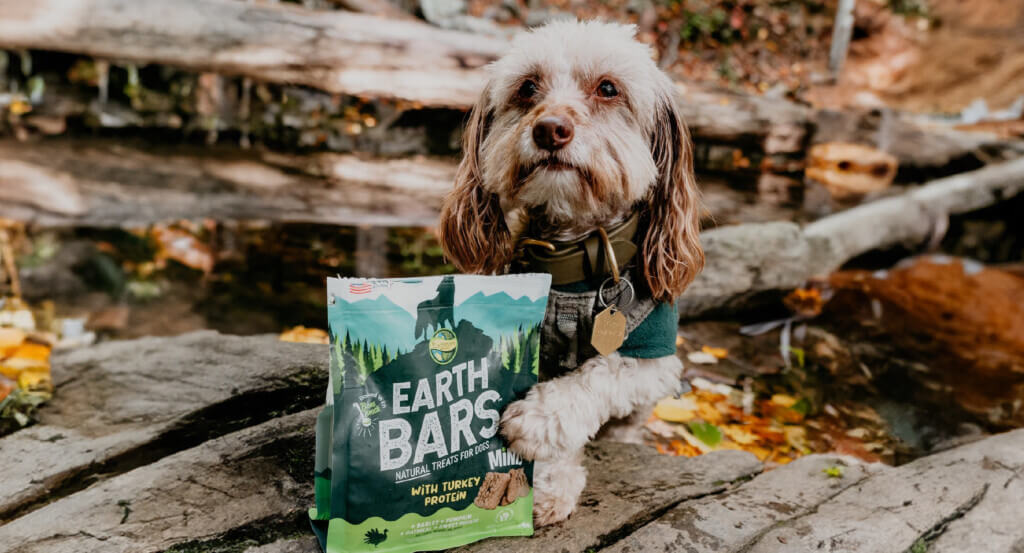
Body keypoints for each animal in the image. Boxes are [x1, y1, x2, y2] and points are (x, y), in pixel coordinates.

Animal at [436, 19, 708, 524]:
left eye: (608, 88)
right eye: (527, 87)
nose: (549, 129)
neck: (576, 252)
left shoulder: (656, 359)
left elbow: (600, 374)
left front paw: (537, 422)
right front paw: (547, 483)